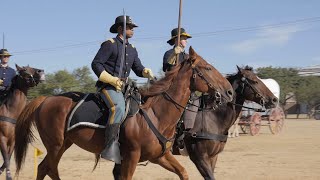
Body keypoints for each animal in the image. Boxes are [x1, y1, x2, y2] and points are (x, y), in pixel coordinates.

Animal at [13, 46, 232, 180]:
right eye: (207, 68)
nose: (229, 91)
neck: (157, 115)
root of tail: (45, 99)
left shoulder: (160, 156)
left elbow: (183, 172)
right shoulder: (131, 157)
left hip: (63, 144)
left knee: (45, 168)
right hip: (55, 145)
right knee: (48, 168)